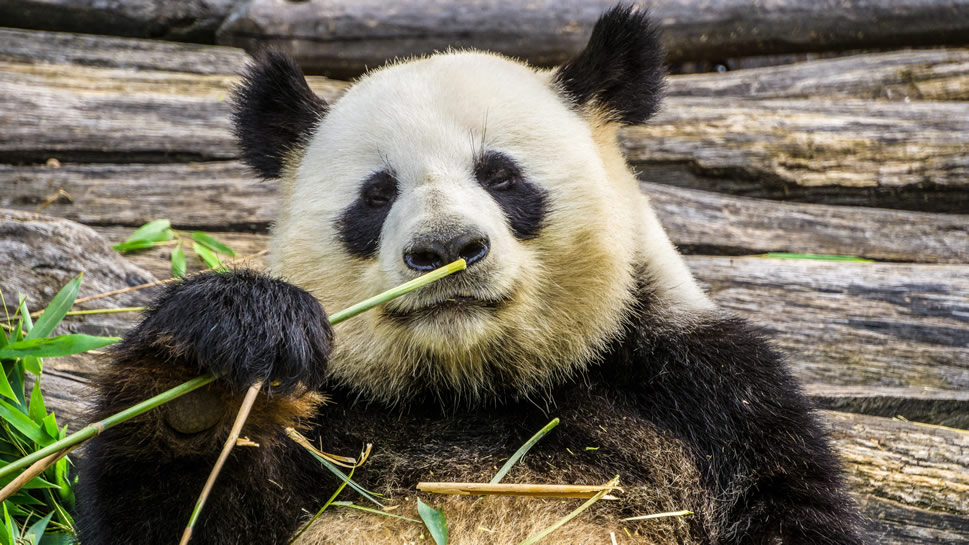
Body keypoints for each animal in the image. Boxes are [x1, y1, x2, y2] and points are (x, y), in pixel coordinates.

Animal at [73, 5, 864, 544]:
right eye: (376, 194)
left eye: (501, 176)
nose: (444, 247)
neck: (470, 388)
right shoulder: (336, 424)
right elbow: (176, 518)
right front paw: (214, 370)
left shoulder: (707, 398)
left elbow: (786, 501)